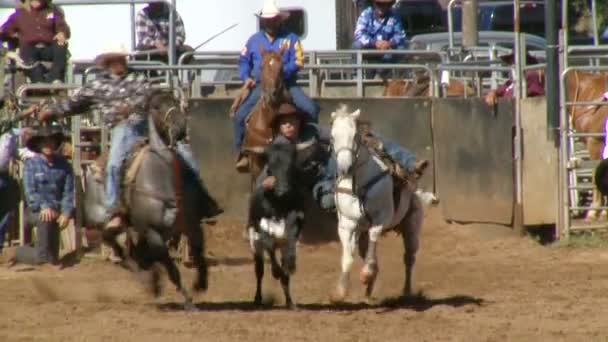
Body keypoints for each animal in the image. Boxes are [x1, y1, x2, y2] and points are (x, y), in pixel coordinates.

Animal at [83, 91, 208, 310]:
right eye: (156, 106)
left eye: (176, 101)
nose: (180, 127)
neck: (161, 176)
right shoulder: (153, 233)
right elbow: (172, 269)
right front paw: (187, 299)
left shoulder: (191, 224)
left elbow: (200, 251)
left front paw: (200, 283)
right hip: (103, 221)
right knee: (120, 250)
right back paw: (150, 281)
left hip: (123, 225)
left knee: (129, 252)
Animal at [330, 105, 426, 302]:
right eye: (332, 136)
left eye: (355, 136)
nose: (345, 168)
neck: (358, 185)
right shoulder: (346, 225)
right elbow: (347, 258)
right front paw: (340, 291)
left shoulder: (380, 219)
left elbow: (373, 248)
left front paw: (367, 274)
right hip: (361, 234)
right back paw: (368, 291)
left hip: (412, 228)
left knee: (409, 258)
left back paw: (406, 291)